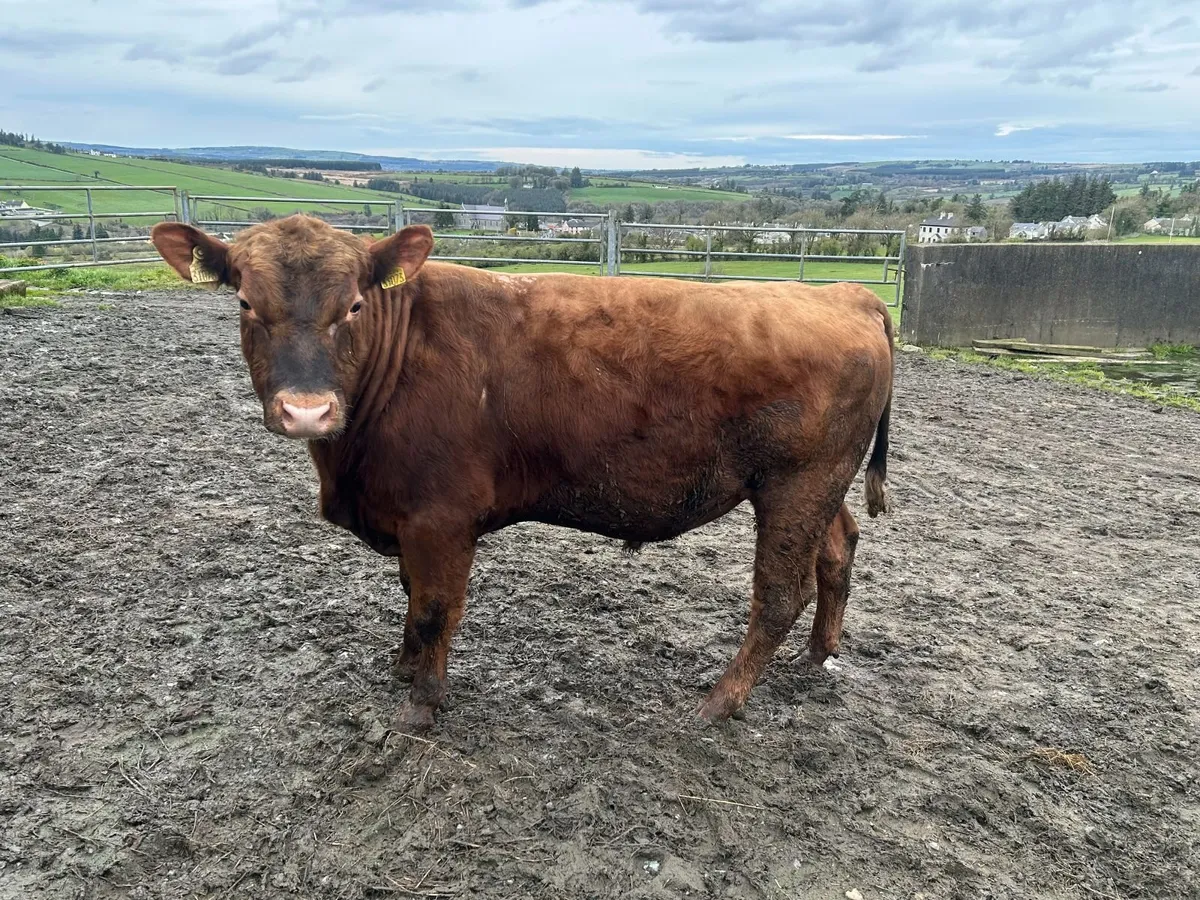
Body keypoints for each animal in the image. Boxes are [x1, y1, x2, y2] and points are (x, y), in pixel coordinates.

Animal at [149, 215, 893, 730]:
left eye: (353, 305)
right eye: (247, 303)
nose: (307, 410)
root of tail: (845, 294)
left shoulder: (441, 517)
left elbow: (433, 608)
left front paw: (421, 707)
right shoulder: (410, 517)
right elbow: (411, 596)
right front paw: (402, 670)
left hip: (798, 483)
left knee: (778, 594)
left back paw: (720, 700)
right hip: (816, 488)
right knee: (837, 551)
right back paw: (819, 654)